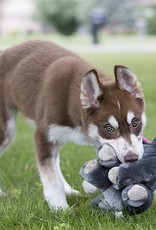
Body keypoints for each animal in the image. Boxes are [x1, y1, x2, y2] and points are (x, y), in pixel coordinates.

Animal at [0, 40, 145, 210]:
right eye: (109, 128)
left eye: (135, 122)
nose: (132, 159)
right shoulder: (43, 135)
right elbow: (51, 177)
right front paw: (59, 208)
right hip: (6, 130)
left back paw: (68, 189)